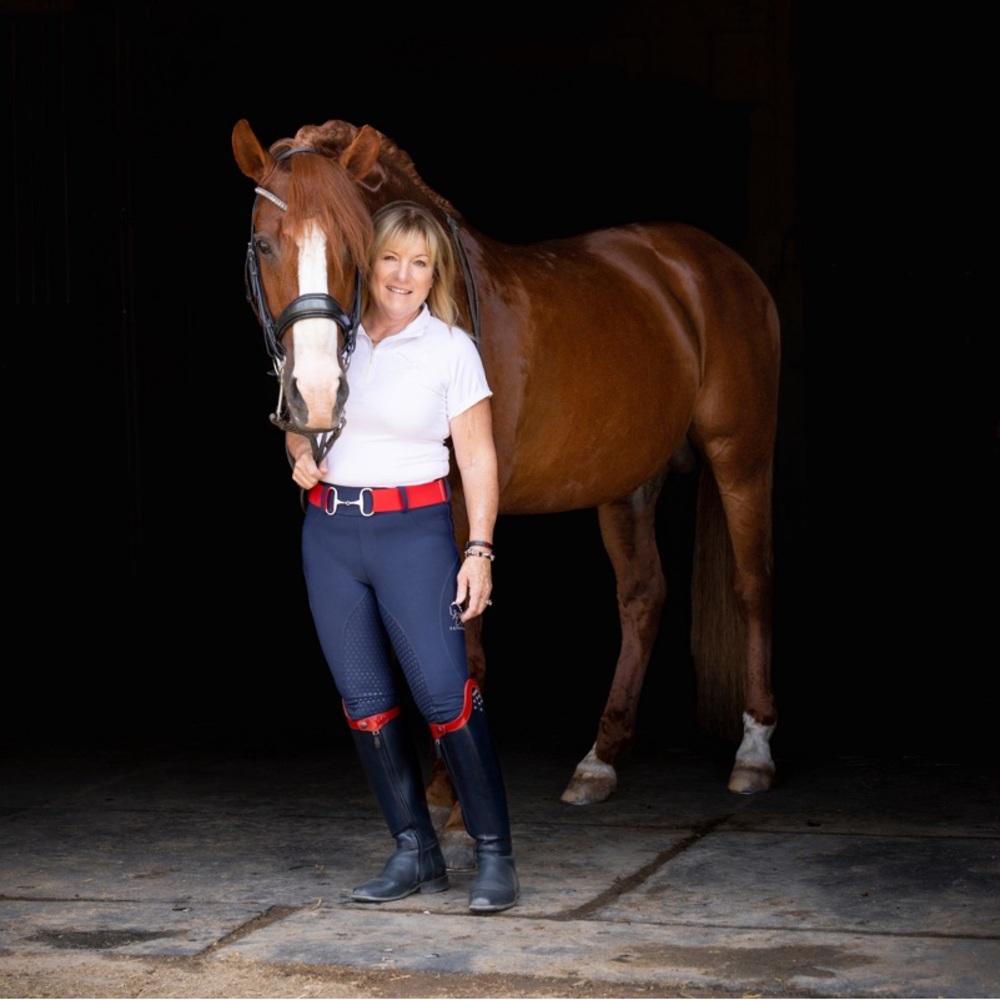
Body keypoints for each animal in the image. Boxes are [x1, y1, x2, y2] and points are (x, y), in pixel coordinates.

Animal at [232, 117, 780, 862]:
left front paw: (463, 819)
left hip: (741, 454)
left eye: (354, 246)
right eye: (265, 242)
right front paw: (440, 796)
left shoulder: (466, 509)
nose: (313, 397)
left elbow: (463, 649)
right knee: (642, 597)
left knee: (751, 586)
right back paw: (599, 759)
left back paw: (754, 750)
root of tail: (714, 265)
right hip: (629, 481)